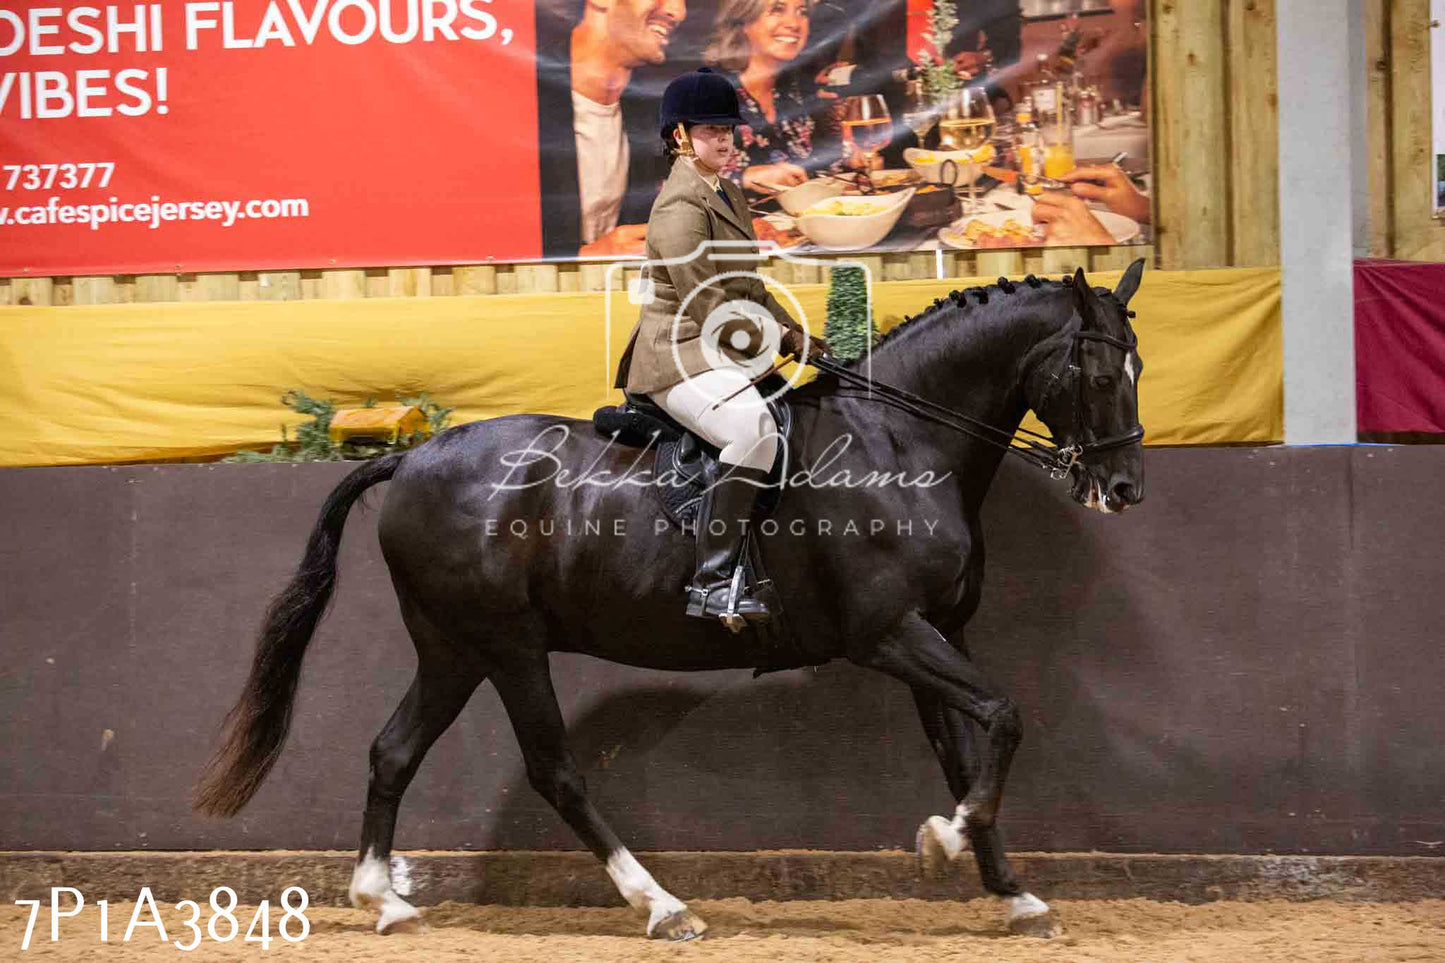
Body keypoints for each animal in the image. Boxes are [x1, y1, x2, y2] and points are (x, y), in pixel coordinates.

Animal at [197, 263, 1150, 936]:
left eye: (1140, 366)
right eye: (1101, 372)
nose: (1125, 488)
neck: (899, 440)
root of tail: (415, 455)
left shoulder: (937, 632)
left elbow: (969, 747)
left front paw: (1009, 889)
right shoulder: (887, 633)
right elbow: (1005, 714)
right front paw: (945, 841)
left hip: (452, 647)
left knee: (393, 750)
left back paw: (384, 899)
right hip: (508, 647)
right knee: (553, 768)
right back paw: (661, 903)